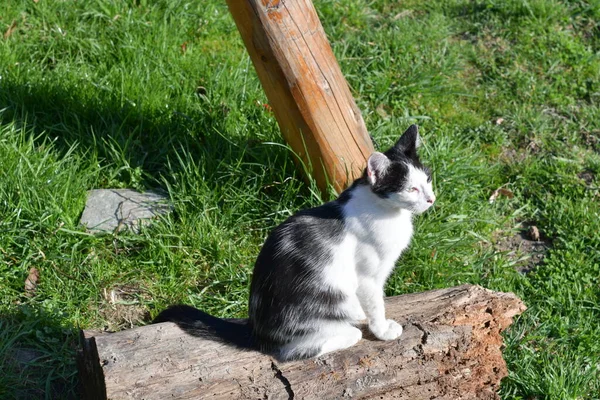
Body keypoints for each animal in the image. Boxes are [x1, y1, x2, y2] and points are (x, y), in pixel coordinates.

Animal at [155, 123, 436, 360]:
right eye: (411, 189)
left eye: (428, 179)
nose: (431, 199)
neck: (387, 210)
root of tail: (256, 331)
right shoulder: (367, 277)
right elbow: (376, 304)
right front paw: (383, 330)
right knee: (293, 352)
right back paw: (348, 333)